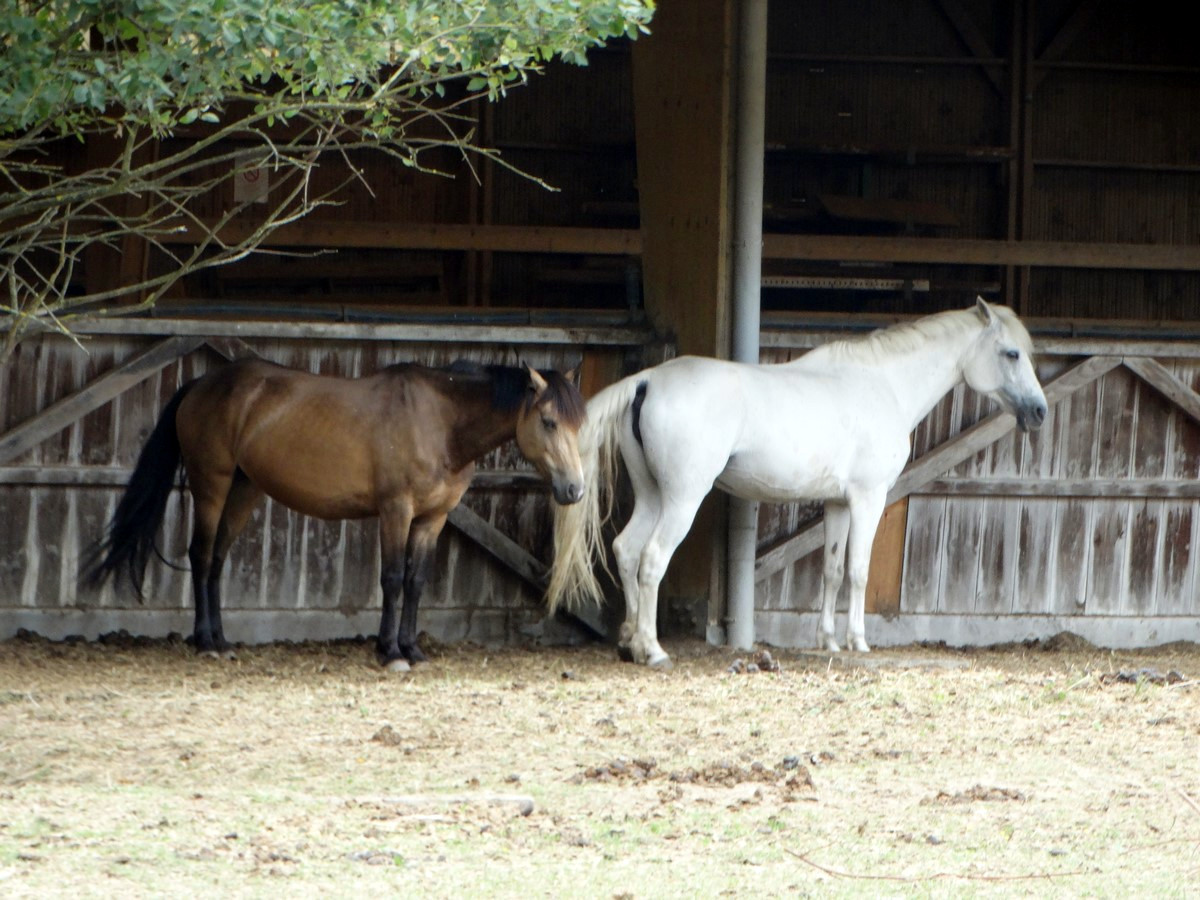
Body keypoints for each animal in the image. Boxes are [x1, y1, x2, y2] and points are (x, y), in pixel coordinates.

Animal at [82, 357, 588, 672]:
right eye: (548, 421)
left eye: (579, 423)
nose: (575, 489)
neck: (442, 423)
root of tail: (201, 385)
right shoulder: (396, 511)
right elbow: (393, 579)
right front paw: (390, 652)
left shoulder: (433, 519)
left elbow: (416, 581)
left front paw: (414, 649)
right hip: (213, 485)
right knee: (202, 556)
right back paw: (206, 642)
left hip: (244, 491)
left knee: (218, 561)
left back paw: (223, 642)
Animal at [549, 300, 1046, 667]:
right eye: (1011, 353)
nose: (1039, 412)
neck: (882, 385)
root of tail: (648, 381)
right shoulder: (867, 499)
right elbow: (858, 570)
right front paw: (858, 641)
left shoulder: (838, 504)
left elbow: (832, 570)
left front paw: (828, 641)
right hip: (681, 500)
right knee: (651, 558)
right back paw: (652, 650)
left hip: (653, 495)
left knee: (627, 551)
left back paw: (629, 643)